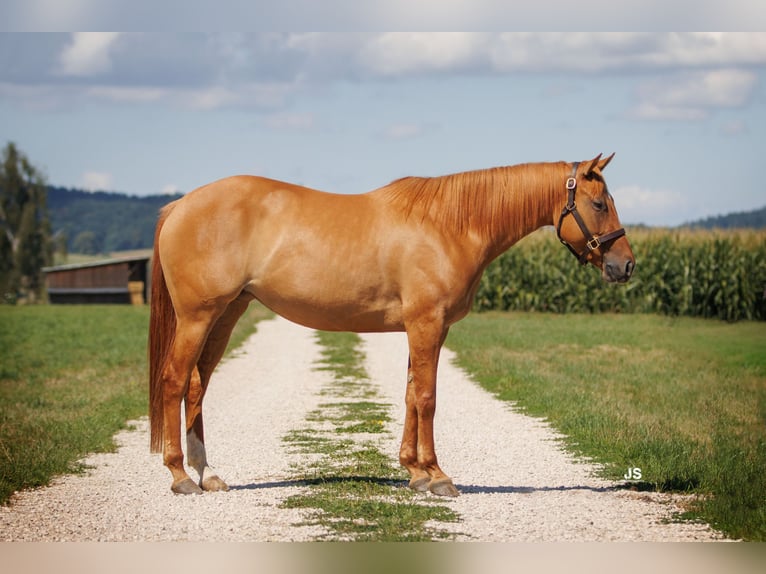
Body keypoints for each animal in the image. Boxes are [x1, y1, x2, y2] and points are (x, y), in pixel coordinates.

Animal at [148, 153, 635, 497]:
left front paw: (414, 471)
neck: (449, 224)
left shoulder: (426, 329)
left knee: (197, 386)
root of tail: (179, 205)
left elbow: (410, 394)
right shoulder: (427, 324)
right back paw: (180, 476)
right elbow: (428, 397)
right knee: (174, 380)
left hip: (226, 314)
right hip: (198, 316)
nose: (625, 265)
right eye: (598, 203)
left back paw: (208, 473)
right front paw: (437, 476)